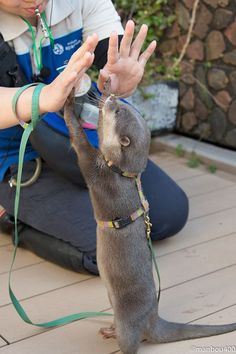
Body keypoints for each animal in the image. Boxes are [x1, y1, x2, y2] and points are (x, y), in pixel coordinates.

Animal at [64, 85, 236, 354]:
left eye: (118, 110)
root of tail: (152, 318)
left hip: (128, 318)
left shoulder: (97, 171)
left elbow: (79, 140)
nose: (111, 96)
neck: (122, 172)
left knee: (130, 342)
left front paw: (68, 103)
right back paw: (109, 329)